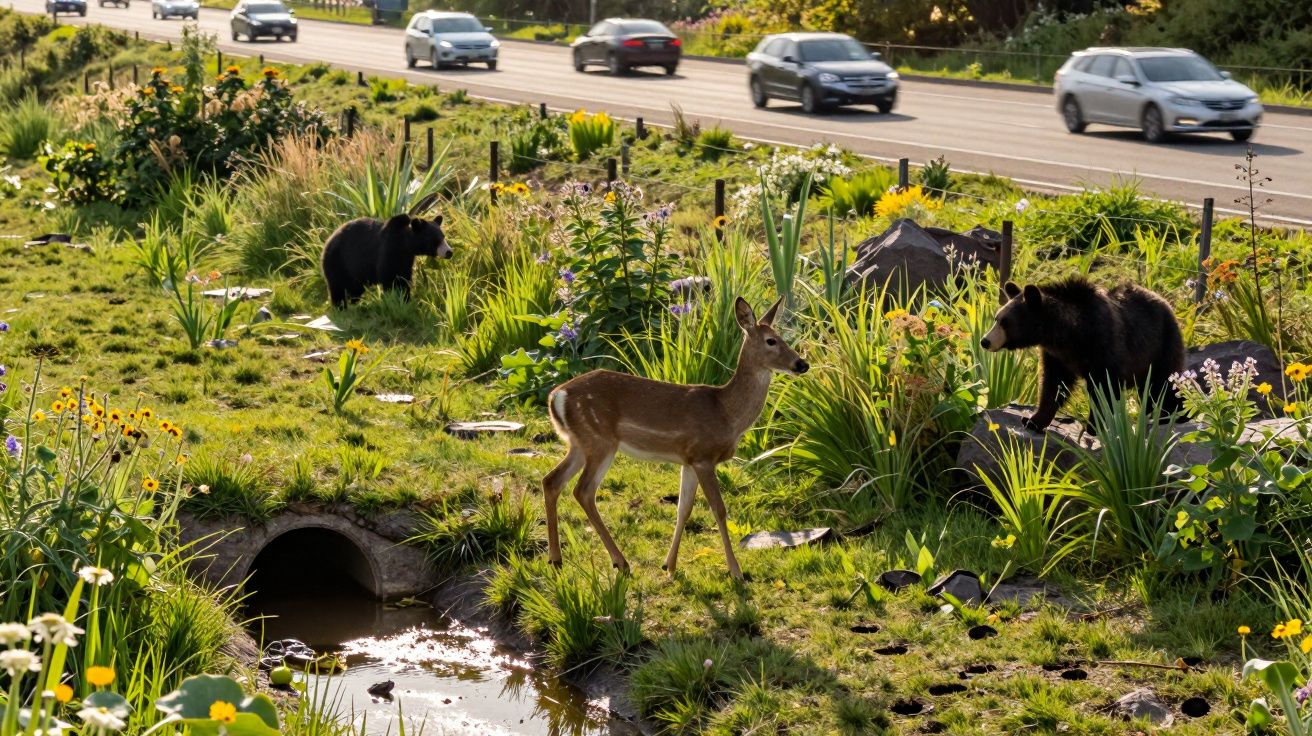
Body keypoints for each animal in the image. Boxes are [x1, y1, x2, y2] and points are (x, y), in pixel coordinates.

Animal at [320, 213, 452, 307]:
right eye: (435, 240)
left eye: (443, 237)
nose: (449, 252)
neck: (404, 245)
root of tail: (328, 240)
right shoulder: (388, 252)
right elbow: (389, 277)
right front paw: (394, 299)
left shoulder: (406, 260)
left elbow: (404, 279)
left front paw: (406, 299)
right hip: (337, 261)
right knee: (336, 287)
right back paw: (340, 307)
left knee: (355, 288)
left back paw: (354, 303)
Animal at [542, 296, 809, 581]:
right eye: (771, 341)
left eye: (783, 337)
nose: (802, 364)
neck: (726, 413)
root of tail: (556, 396)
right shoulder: (704, 456)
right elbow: (719, 509)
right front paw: (736, 572)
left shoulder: (688, 460)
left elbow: (684, 509)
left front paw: (669, 565)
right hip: (600, 440)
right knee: (583, 490)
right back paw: (620, 562)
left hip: (579, 443)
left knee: (552, 481)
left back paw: (556, 559)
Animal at [980, 277, 1184, 433]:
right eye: (996, 318)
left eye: (1005, 322)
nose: (984, 341)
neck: (1070, 334)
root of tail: (1165, 301)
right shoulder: (1056, 356)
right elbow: (1052, 385)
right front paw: (1033, 420)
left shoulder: (1103, 346)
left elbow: (1105, 388)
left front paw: (1094, 426)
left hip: (1161, 344)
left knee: (1164, 382)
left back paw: (1171, 415)